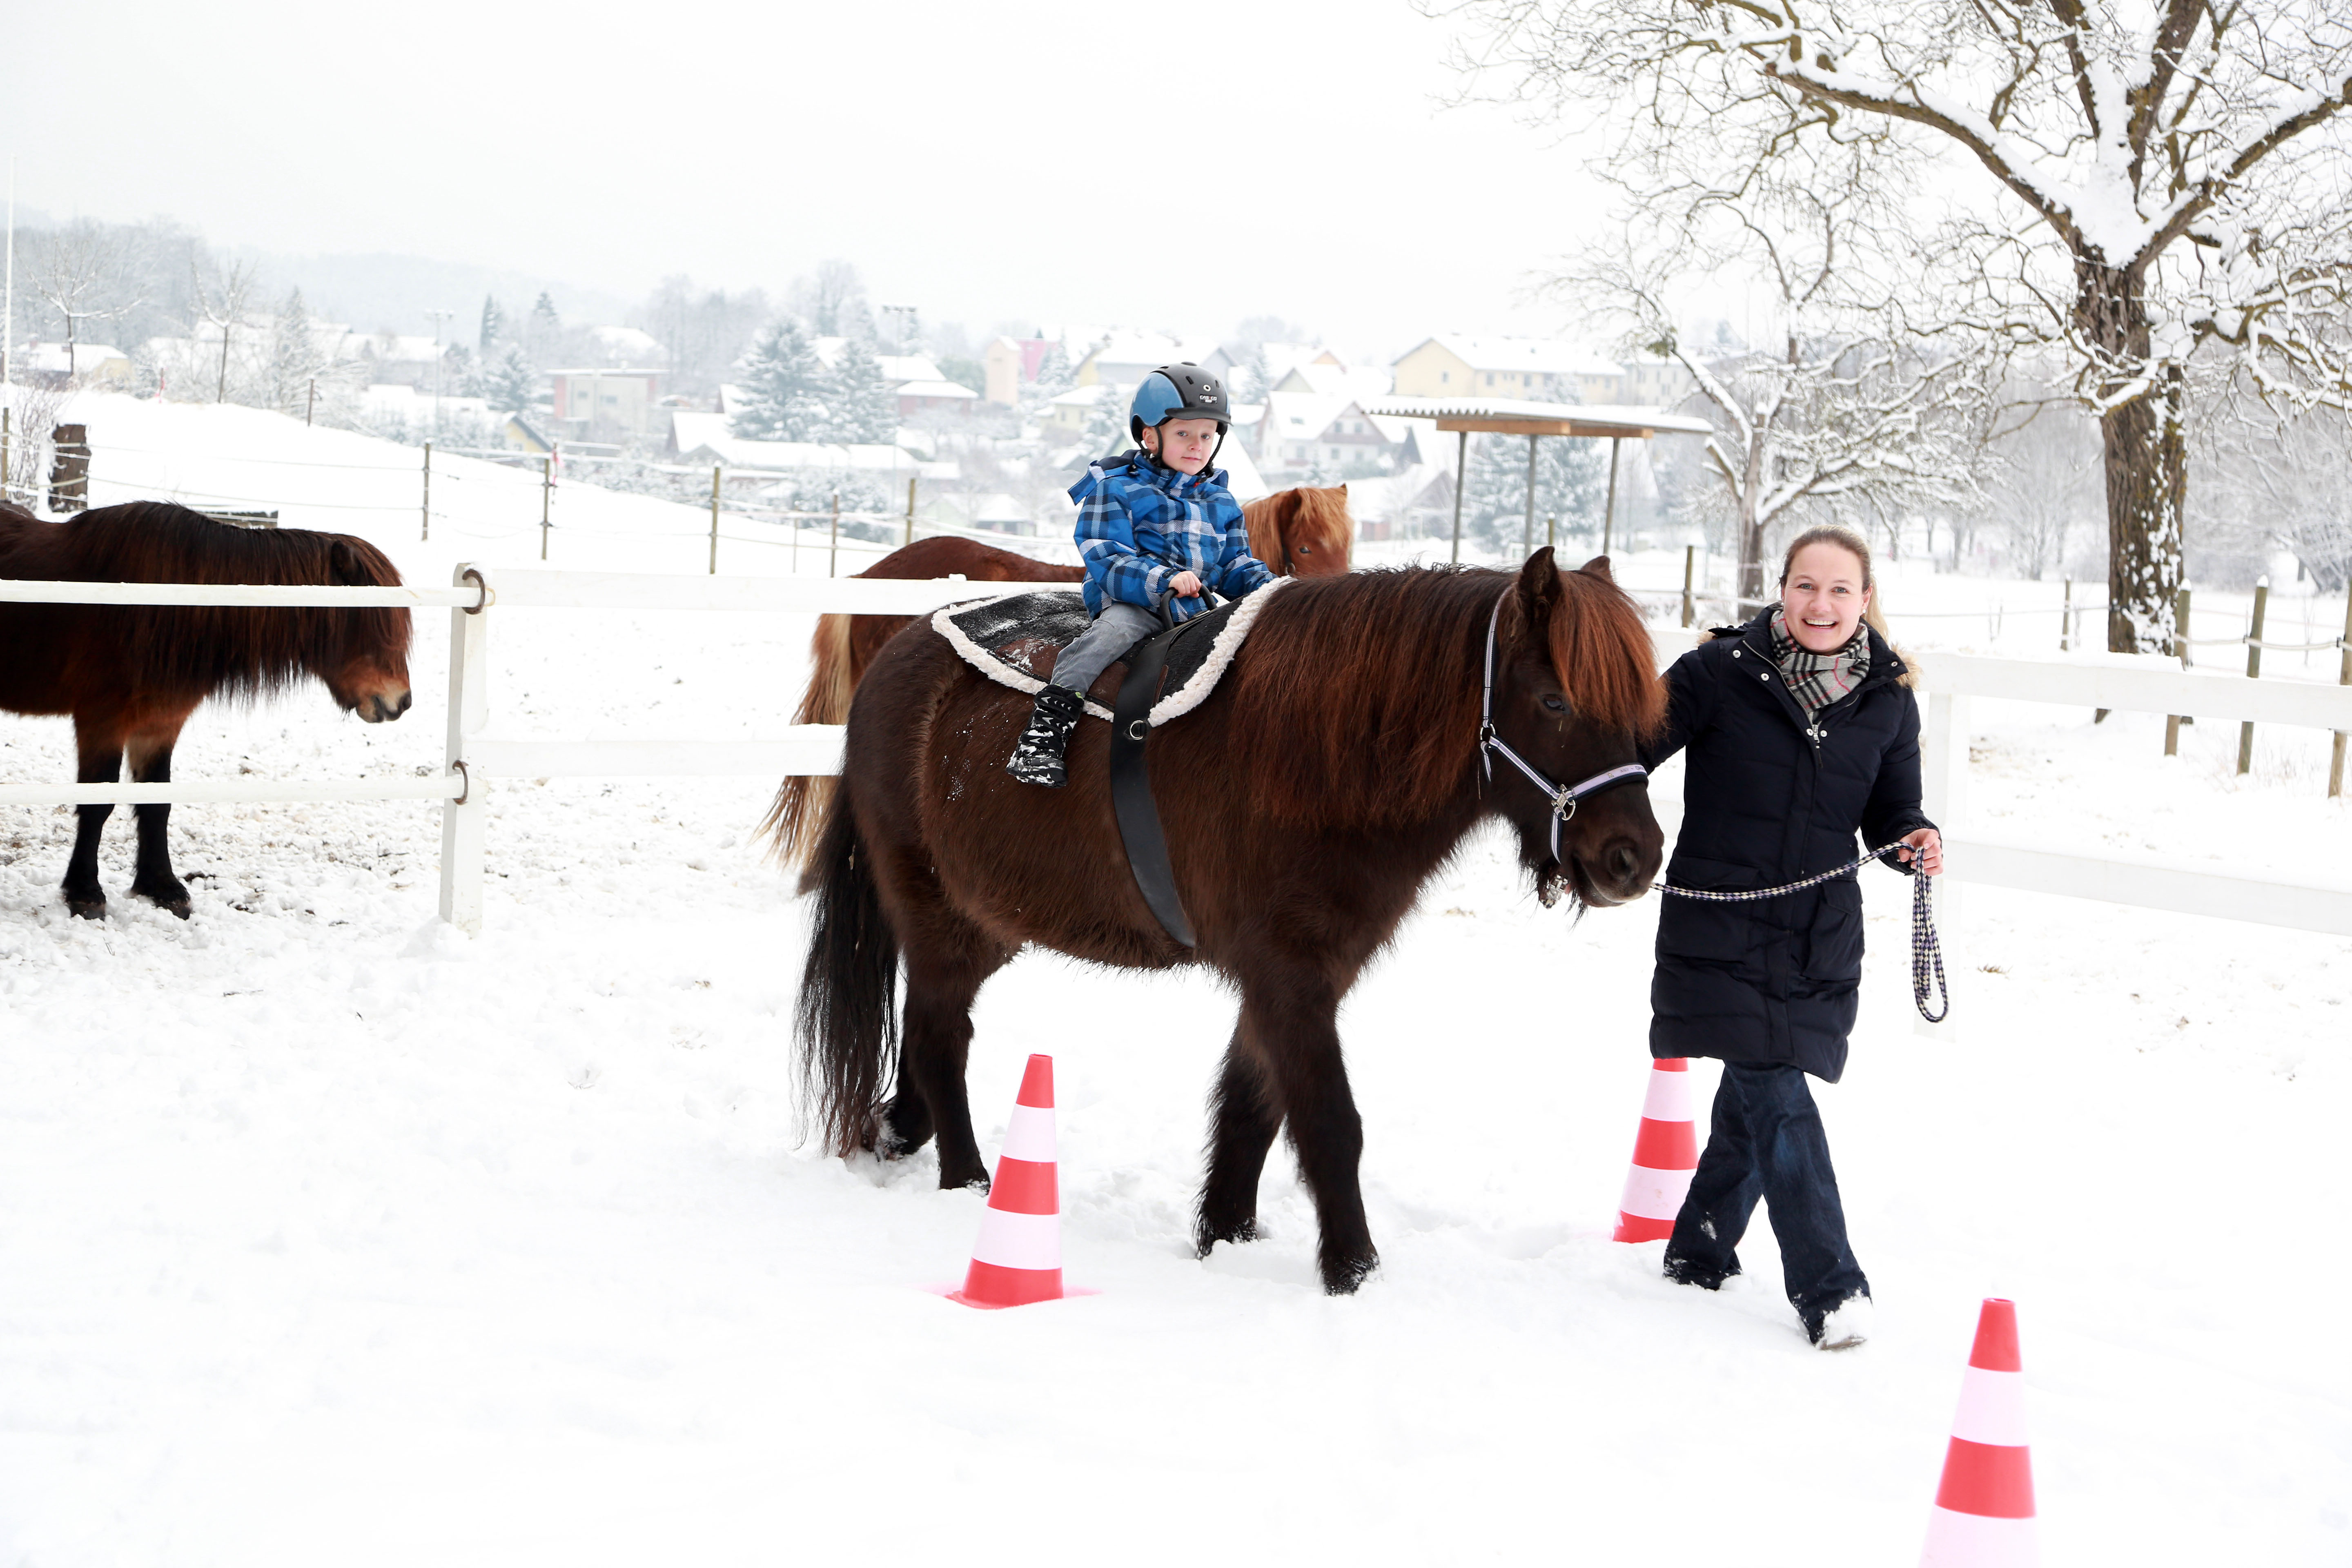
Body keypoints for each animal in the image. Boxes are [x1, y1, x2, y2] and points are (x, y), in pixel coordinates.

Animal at [0, 503, 414, 921]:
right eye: (372, 621)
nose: (400, 702)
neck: (165, 604)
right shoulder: (102, 721)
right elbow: (97, 804)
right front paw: (85, 892)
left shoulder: (160, 724)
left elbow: (157, 804)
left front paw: (162, 887)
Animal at [800, 545, 1665, 1297]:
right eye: (1555, 701)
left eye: (1640, 709)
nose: (1634, 858)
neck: (1319, 754)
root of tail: (891, 659)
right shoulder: (1291, 978)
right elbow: (1329, 1122)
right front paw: (1352, 1271)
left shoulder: (1295, 978)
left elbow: (1253, 1109)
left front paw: (1225, 1235)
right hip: (938, 918)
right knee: (940, 1039)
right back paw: (970, 1181)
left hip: (988, 925)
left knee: (924, 1038)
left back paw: (903, 1132)